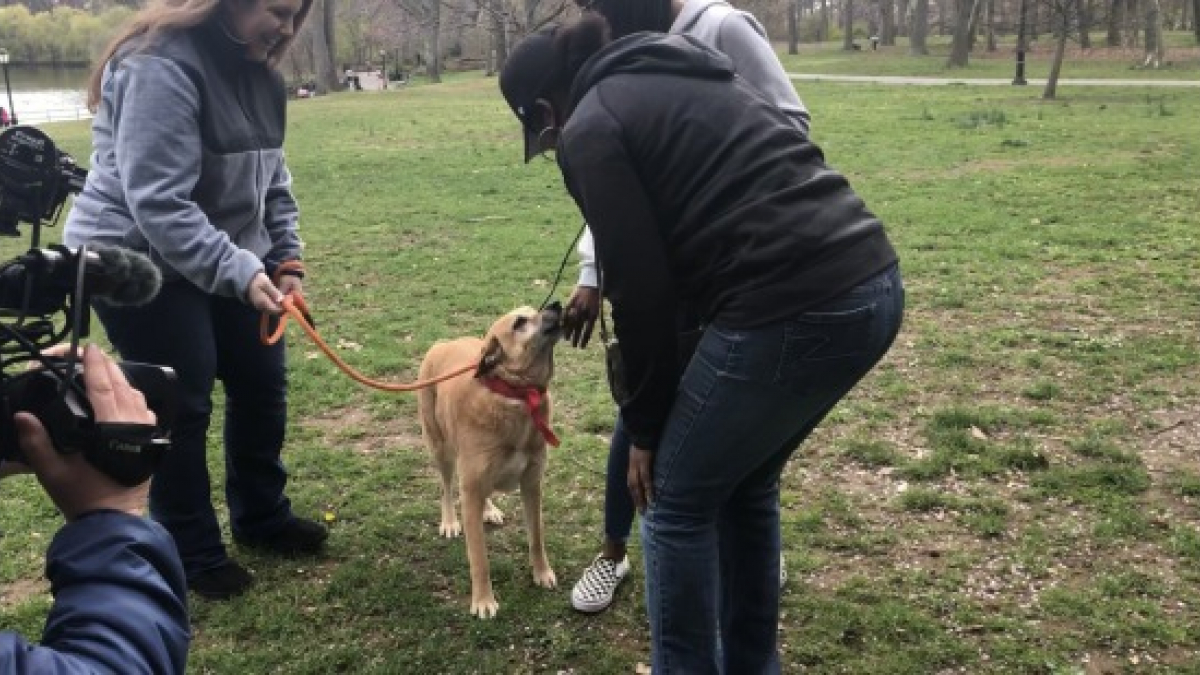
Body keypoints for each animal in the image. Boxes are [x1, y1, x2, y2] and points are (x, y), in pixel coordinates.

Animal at [415, 302, 564, 619]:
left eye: (534, 308)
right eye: (520, 322)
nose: (557, 304)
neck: (516, 396)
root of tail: (443, 343)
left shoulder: (531, 485)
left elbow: (537, 538)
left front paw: (541, 573)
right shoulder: (470, 490)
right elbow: (479, 558)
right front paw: (483, 601)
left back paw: (490, 510)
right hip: (441, 450)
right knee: (446, 488)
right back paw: (449, 521)